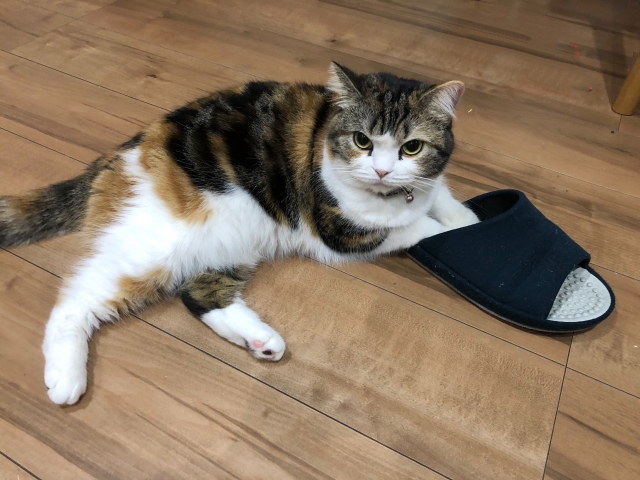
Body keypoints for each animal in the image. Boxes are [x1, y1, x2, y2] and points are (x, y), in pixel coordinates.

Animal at [1, 62, 480, 404]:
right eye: (363, 141)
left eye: (412, 147)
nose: (382, 170)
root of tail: (115, 158)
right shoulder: (343, 230)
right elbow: (412, 224)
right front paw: (443, 229)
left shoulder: (427, 184)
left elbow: (443, 197)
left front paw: (468, 221)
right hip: (155, 246)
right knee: (76, 299)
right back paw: (66, 375)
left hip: (233, 239)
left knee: (199, 293)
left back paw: (261, 341)